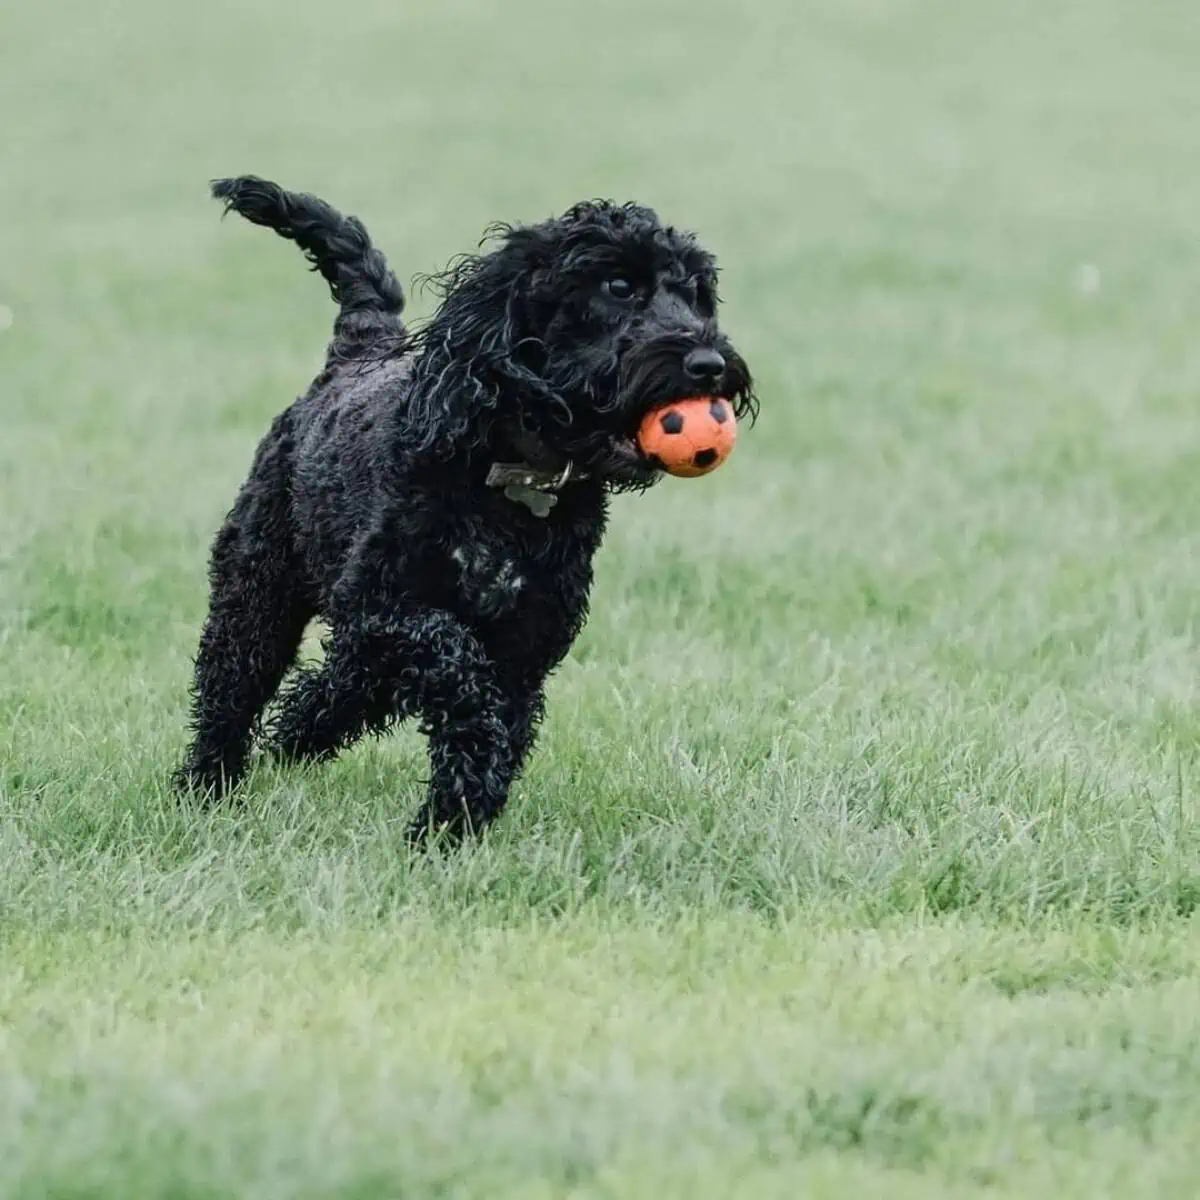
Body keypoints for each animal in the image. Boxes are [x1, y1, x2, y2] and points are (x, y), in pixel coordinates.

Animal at [175, 177, 758, 840]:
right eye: (617, 286)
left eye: (696, 293)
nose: (711, 365)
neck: (511, 479)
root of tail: (355, 354)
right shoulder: (383, 606)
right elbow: (457, 669)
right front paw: (443, 825)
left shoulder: (526, 643)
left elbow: (490, 730)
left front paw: (450, 829)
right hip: (258, 588)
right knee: (232, 686)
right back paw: (207, 786)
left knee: (347, 679)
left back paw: (300, 732)